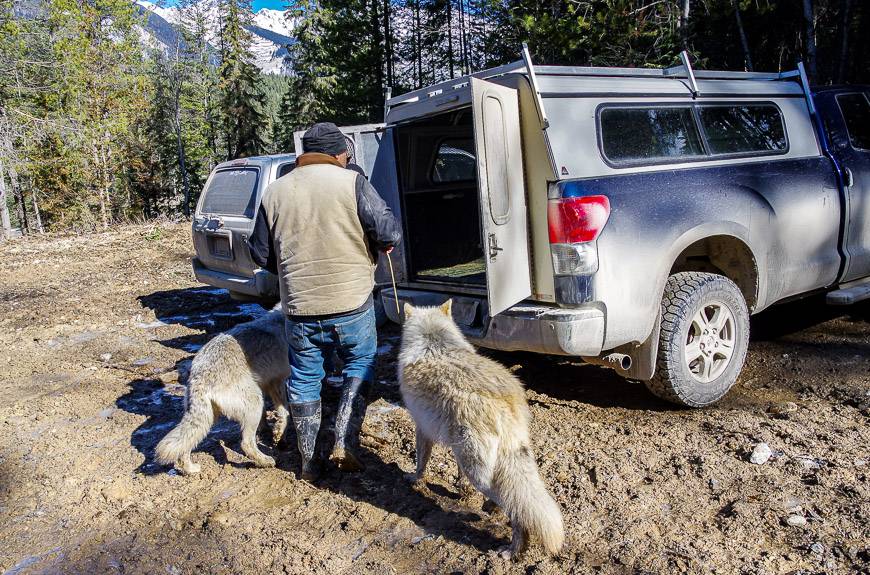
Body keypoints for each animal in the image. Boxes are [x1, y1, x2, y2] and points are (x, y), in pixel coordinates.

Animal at [155, 308, 292, 474]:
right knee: (245, 443)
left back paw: (190, 469)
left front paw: (273, 434)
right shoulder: (278, 382)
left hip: (207, 419)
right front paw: (279, 435)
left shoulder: (268, 384)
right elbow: (285, 414)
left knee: (185, 446)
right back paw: (266, 461)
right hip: (254, 402)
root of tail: (199, 379)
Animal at [400, 302, 564, 560]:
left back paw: (512, 549)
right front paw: (461, 492)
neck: (433, 343)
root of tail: (505, 403)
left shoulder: (421, 428)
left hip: (479, 474)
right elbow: (456, 476)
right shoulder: (453, 448)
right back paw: (491, 511)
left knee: (516, 510)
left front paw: (414, 479)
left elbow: (420, 463)